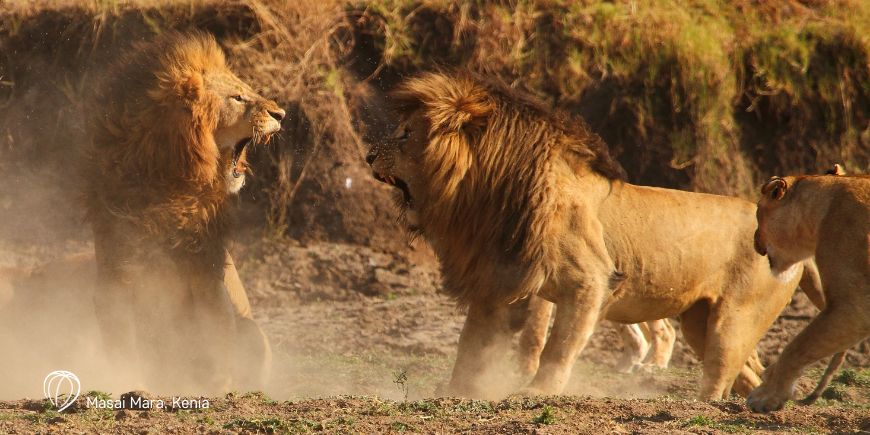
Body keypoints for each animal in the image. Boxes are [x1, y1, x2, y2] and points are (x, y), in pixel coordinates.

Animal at [84, 31, 284, 393]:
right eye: (237, 97)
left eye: (246, 90)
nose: (282, 114)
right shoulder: (116, 275)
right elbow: (122, 345)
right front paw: (128, 381)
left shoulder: (206, 272)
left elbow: (214, 335)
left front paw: (216, 388)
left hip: (252, 330)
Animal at [367, 71, 808, 400]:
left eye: (405, 135)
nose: (369, 155)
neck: (485, 195)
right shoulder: (498, 281)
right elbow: (472, 343)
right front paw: (458, 391)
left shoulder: (590, 281)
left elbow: (558, 346)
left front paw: (536, 393)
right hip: (701, 321)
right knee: (747, 373)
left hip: (732, 320)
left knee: (720, 374)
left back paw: (706, 407)